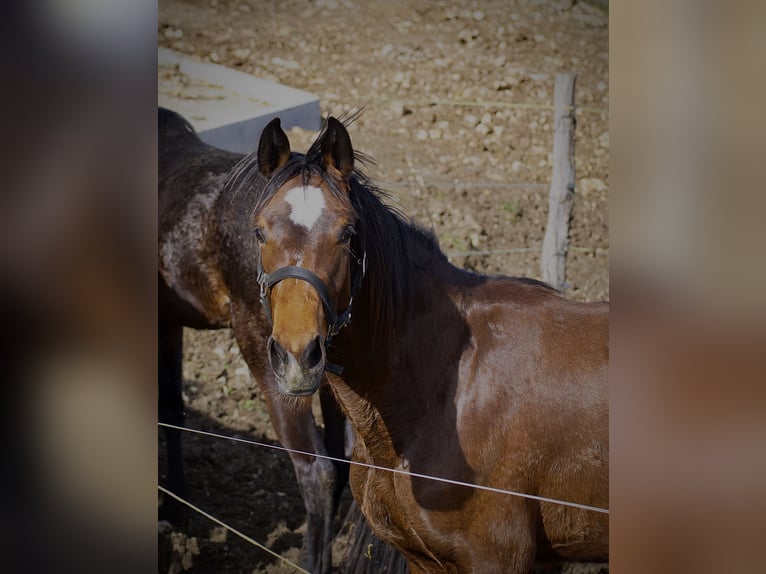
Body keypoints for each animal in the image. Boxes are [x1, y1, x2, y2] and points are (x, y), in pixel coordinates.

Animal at [159, 109, 404, 574]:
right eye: (259, 233)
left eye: (347, 233)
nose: (297, 349)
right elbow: (172, 409)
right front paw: (176, 509)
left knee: (317, 470)